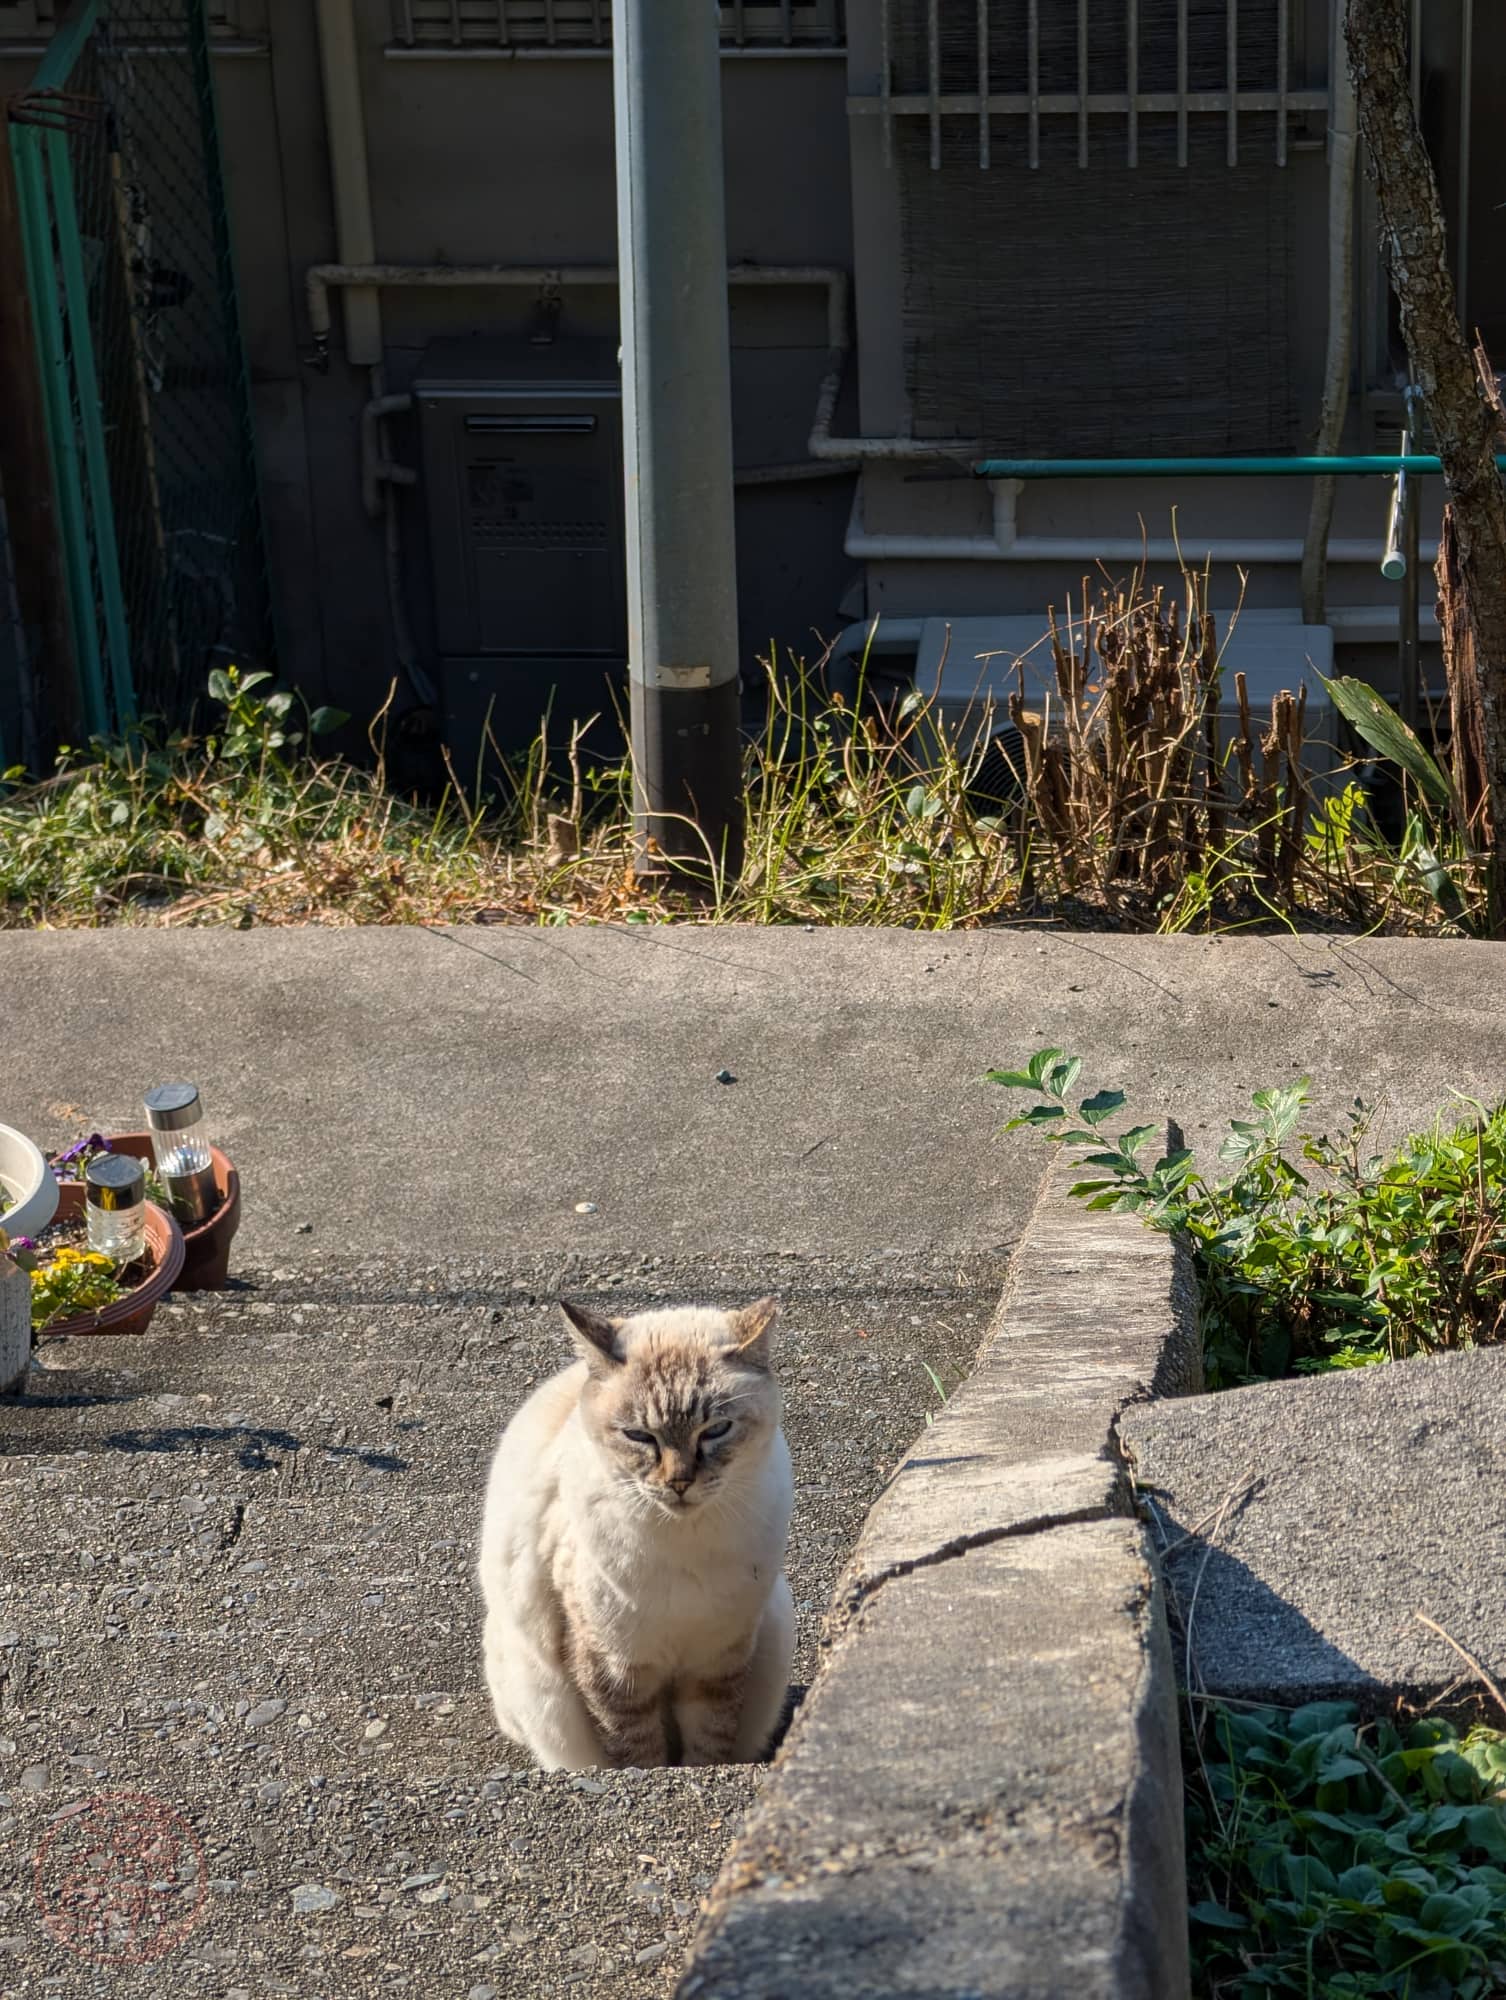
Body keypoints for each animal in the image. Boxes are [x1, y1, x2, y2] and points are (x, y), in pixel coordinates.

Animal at [482, 1296, 792, 1768]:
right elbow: (637, 1750)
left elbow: (708, 1742)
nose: (680, 1483)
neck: (687, 1543)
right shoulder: (615, 1667)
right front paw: (652, 1772)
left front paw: (697, 1768)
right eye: (639, 1436)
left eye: (716, 1430)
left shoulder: (719, 1660)